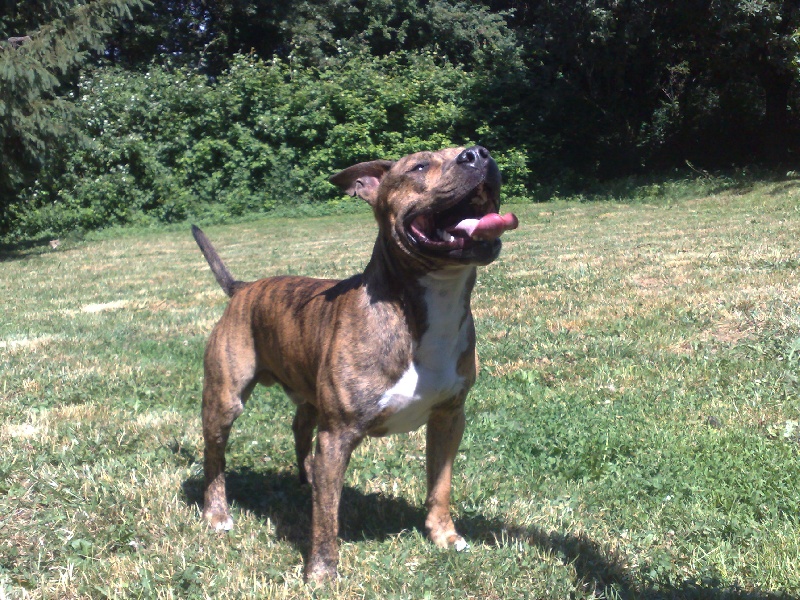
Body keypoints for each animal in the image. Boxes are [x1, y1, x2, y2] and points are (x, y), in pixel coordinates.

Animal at [192, 146, 518, 582]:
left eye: (477, 148)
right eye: (419, 166)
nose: (478, 153)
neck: (424, 307)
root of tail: (242, 289)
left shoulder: (449, 417)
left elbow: (440, 485)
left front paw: (444, 536)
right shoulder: (338, 434)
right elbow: (327, 514)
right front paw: (321, 571)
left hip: (307, 396)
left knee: (300, 428)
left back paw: (306, 479)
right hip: (224, 399)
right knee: (215, 455)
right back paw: (217, 513)